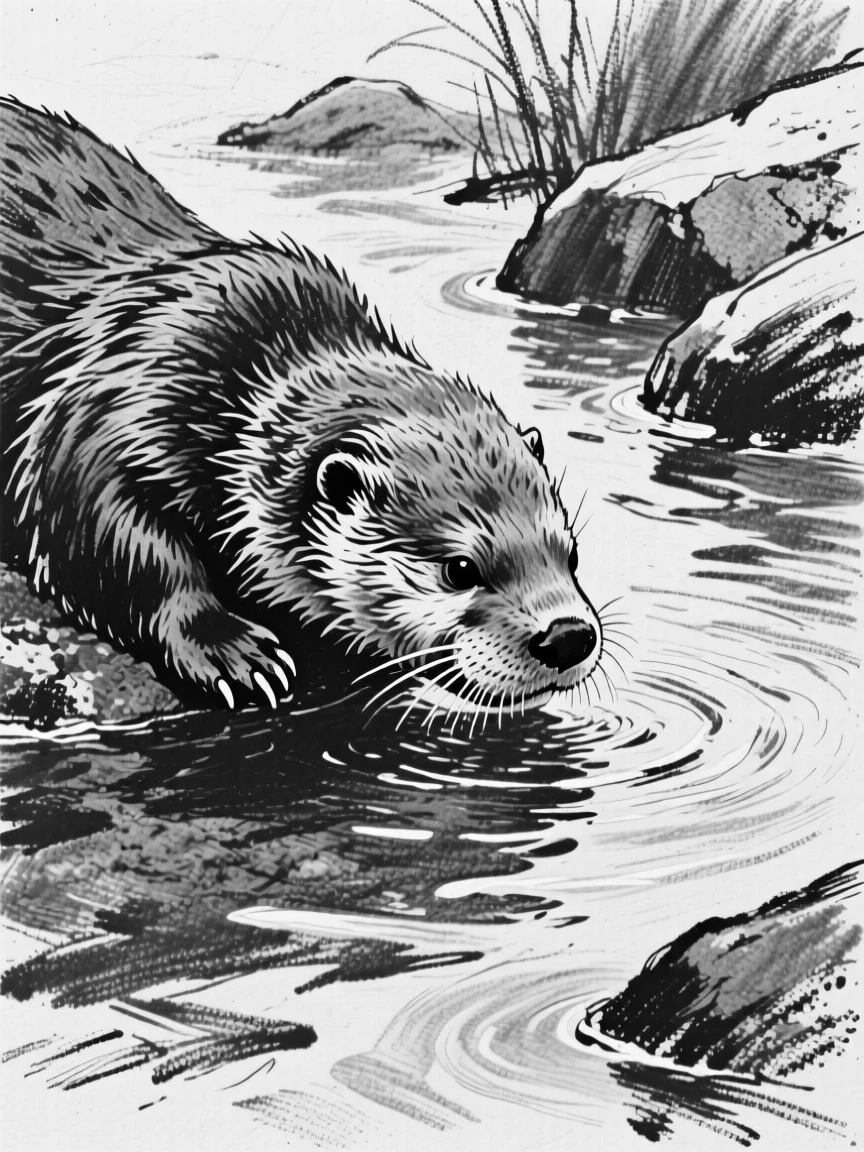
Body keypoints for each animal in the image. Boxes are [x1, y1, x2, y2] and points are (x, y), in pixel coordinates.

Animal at [0, 97, 602, 714]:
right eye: (459, 568)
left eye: (571, 554)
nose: (568, 635)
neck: (235, 388)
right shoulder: (111, 405)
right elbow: (106, 539)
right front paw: (233, 651)